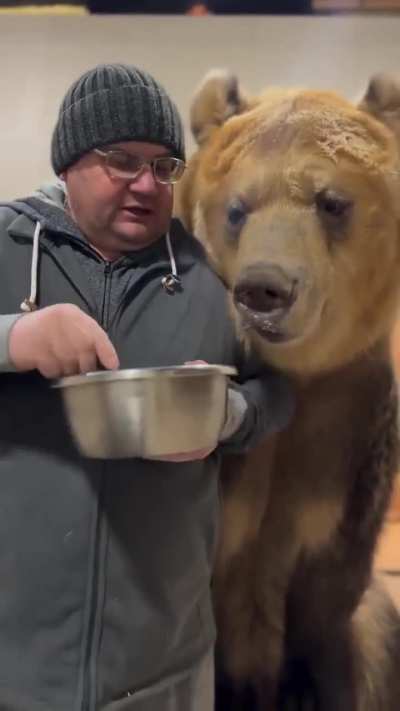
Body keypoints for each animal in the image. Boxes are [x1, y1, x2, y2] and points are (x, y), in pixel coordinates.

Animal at [176, 70, 400, 711]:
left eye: (331, 201)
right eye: (237, 207)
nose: (265, 287)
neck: (295, 375)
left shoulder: (345, 433)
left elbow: (327, 597)